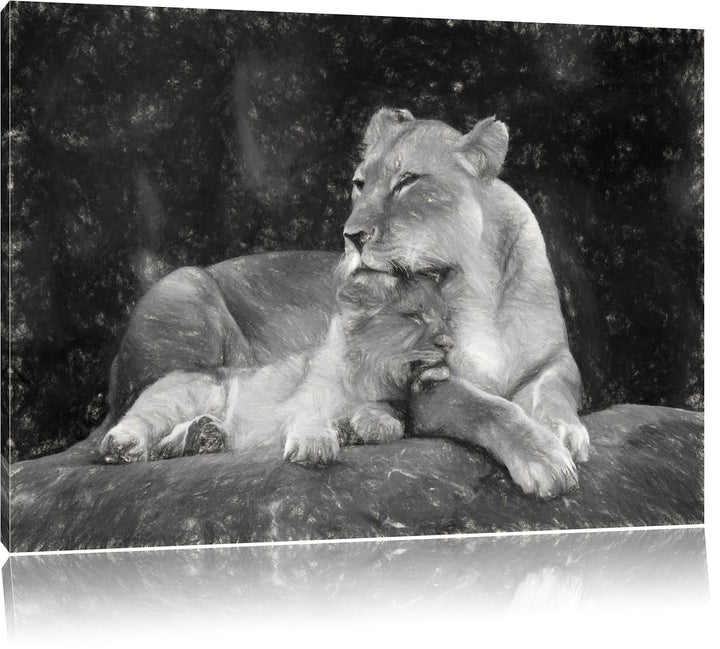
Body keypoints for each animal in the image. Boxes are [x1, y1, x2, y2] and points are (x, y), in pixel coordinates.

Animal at [99, 273, 453, 464]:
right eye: (415, 316)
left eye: (447, 318)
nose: (450, 342)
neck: (365, 377)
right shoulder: (300, 402)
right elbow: (311, 416)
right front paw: (316, 444)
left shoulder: (390, 401)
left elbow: (387, 415)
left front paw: (369, 426)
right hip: (181, 399)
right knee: (138, 425)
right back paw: (125, 446)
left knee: (167, 445)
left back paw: (205, 436)